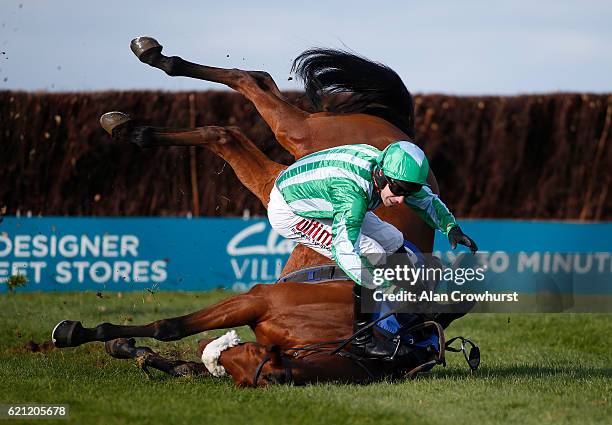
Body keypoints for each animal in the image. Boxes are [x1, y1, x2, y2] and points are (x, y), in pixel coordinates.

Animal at [52, 38, 476, 386]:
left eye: (248, 374)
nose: (214, 356)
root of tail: (398, 132)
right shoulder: (259, 299)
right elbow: (170, 326)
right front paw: (81, 333)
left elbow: (175, 348)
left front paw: (126, 347)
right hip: (298, 141)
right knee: (251, 86)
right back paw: (152, 69)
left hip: (275, 178)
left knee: (227, 130)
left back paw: (133, 126)